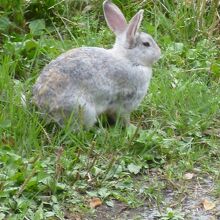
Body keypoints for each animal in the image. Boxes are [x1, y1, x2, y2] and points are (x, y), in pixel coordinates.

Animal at [32, 0, 160, 129]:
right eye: (146, 44)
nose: (159, 53)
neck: (129, 59)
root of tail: (45, 108)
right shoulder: (125, 102)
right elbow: (124, 117)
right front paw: (131, 128)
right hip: (84, 109)